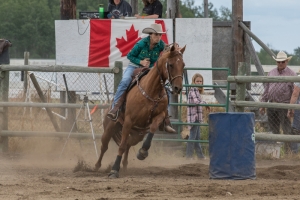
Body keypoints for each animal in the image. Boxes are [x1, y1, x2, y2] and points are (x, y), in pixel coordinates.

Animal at [95, 43, 186, 178]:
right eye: (171, 64)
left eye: (183, 65)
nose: (177, 88)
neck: (151, 90)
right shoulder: (128, 121)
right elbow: (121, 146)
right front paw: (114, 170)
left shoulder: (159, 116)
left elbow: (152, 128)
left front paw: (142, 152)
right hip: (109, 129)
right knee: (105, 146)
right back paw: (97, 165)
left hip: (137, 135)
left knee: (128, 144)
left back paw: (125, 165)